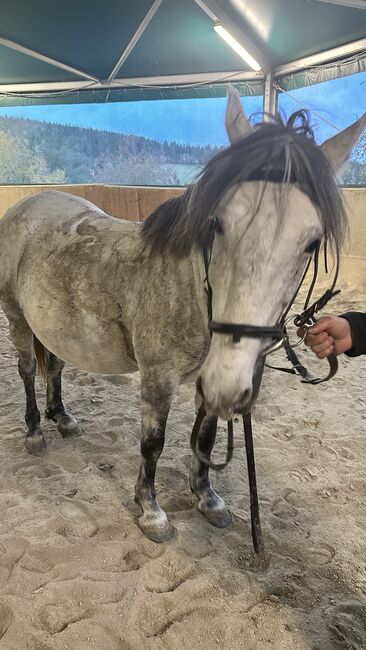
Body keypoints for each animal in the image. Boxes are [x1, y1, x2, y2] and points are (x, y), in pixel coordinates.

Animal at [0, 87, 364, 540]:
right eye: (217, 224)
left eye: (312, 242)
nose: (231, 378)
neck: (192, 291)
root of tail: (30, 204)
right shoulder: (159, 378)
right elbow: (152, 444)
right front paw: (150, 511)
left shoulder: (213, 383)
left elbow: (205, 438)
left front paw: (207, 499)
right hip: (17, 316)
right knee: (28, 369)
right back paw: (35, 431)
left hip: (53, 324)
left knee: (54, 366)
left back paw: (62, 418)